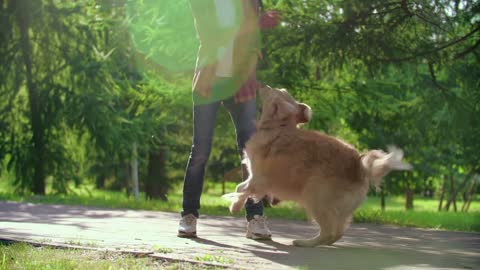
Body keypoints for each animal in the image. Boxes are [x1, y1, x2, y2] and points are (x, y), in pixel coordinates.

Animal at [223, 86, 410, 247]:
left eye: (276, 90)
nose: (262, 85)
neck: (277, 127)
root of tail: (360, 166)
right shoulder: (254, 177)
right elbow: (241, 187)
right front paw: (235, 202)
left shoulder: (259, 179)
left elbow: (245, 190)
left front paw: (234, 205)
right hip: (334, 207)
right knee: (337, 232)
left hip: (314, 195)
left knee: (328, 232)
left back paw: (305, 243)